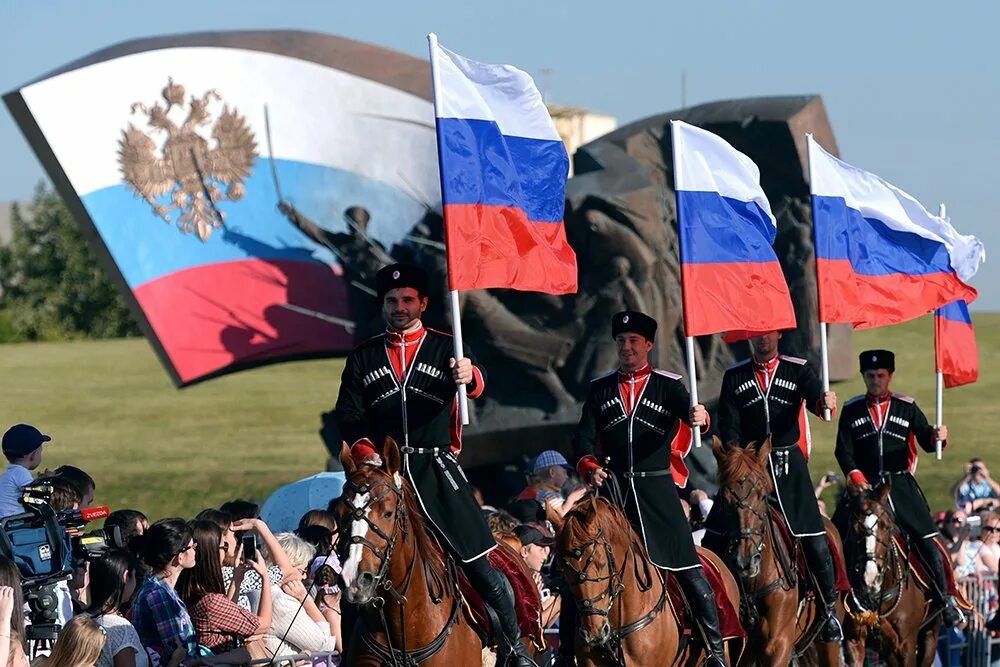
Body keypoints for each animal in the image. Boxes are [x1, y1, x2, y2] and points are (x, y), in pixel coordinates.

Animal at [840, 486, 940, 667]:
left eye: (886, 527)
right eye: (854, 528)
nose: (870, 577)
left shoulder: (906, 645)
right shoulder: (853, 641)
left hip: (930, 636)